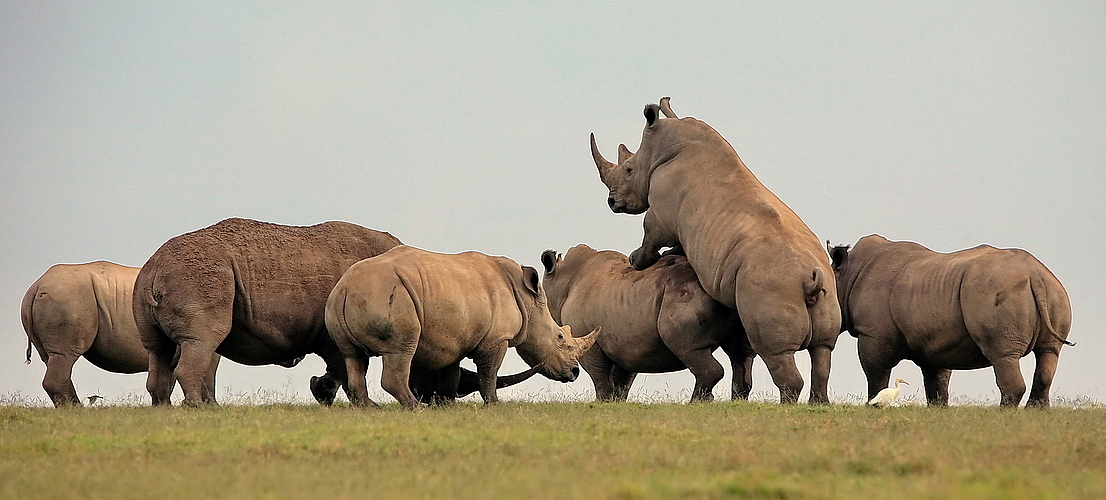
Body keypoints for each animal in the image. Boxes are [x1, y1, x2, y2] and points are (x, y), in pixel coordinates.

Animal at [322, 244, 601, 409]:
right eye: (560, 338)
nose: (574, 373)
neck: (529, 302)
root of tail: (346, 288)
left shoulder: (453, 338)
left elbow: (451, 374)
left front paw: (446, 406)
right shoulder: (497, 339)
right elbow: (488, 372)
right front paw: (494, 405)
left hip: (342, 301)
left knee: (352, 356)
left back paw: (371, 408)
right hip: (392, 296)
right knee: (400, 351)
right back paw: (416, 408)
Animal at [541, 245, 752, 402]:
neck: (563, 280)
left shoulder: (588, 341)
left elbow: (600, 377)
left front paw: (603, 402)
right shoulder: (626, 345)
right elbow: (622, 382)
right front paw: (616, 403)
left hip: (682, 296)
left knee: (688, 347)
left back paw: (696, 403)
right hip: (729, 299)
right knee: (740, 353)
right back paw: (737, 401)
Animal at [597, 96, 836, 402]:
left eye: (628, 169)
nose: (612, 202)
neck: (660, 147)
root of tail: (809, 280)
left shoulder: (661, 212)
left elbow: (650, 232)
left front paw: (636, 260)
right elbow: (676, 246)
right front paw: (665, 257)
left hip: (771, 285)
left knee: (776, 352)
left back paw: (786, 405)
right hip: (825, 289)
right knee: (823, 349)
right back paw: (819, 404)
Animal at [831, 234, 1070, 407]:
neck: (848, 273)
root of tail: (1035, 274)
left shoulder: (873, 333)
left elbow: (876, 372)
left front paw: (871, 403)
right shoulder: (934, 339)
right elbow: (936, 380)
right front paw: (938, 409)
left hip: (997, 291)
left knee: (1003, 355)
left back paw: (1005, 413)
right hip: (1055, 290)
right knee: (1049, 352)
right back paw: (1036, 411)